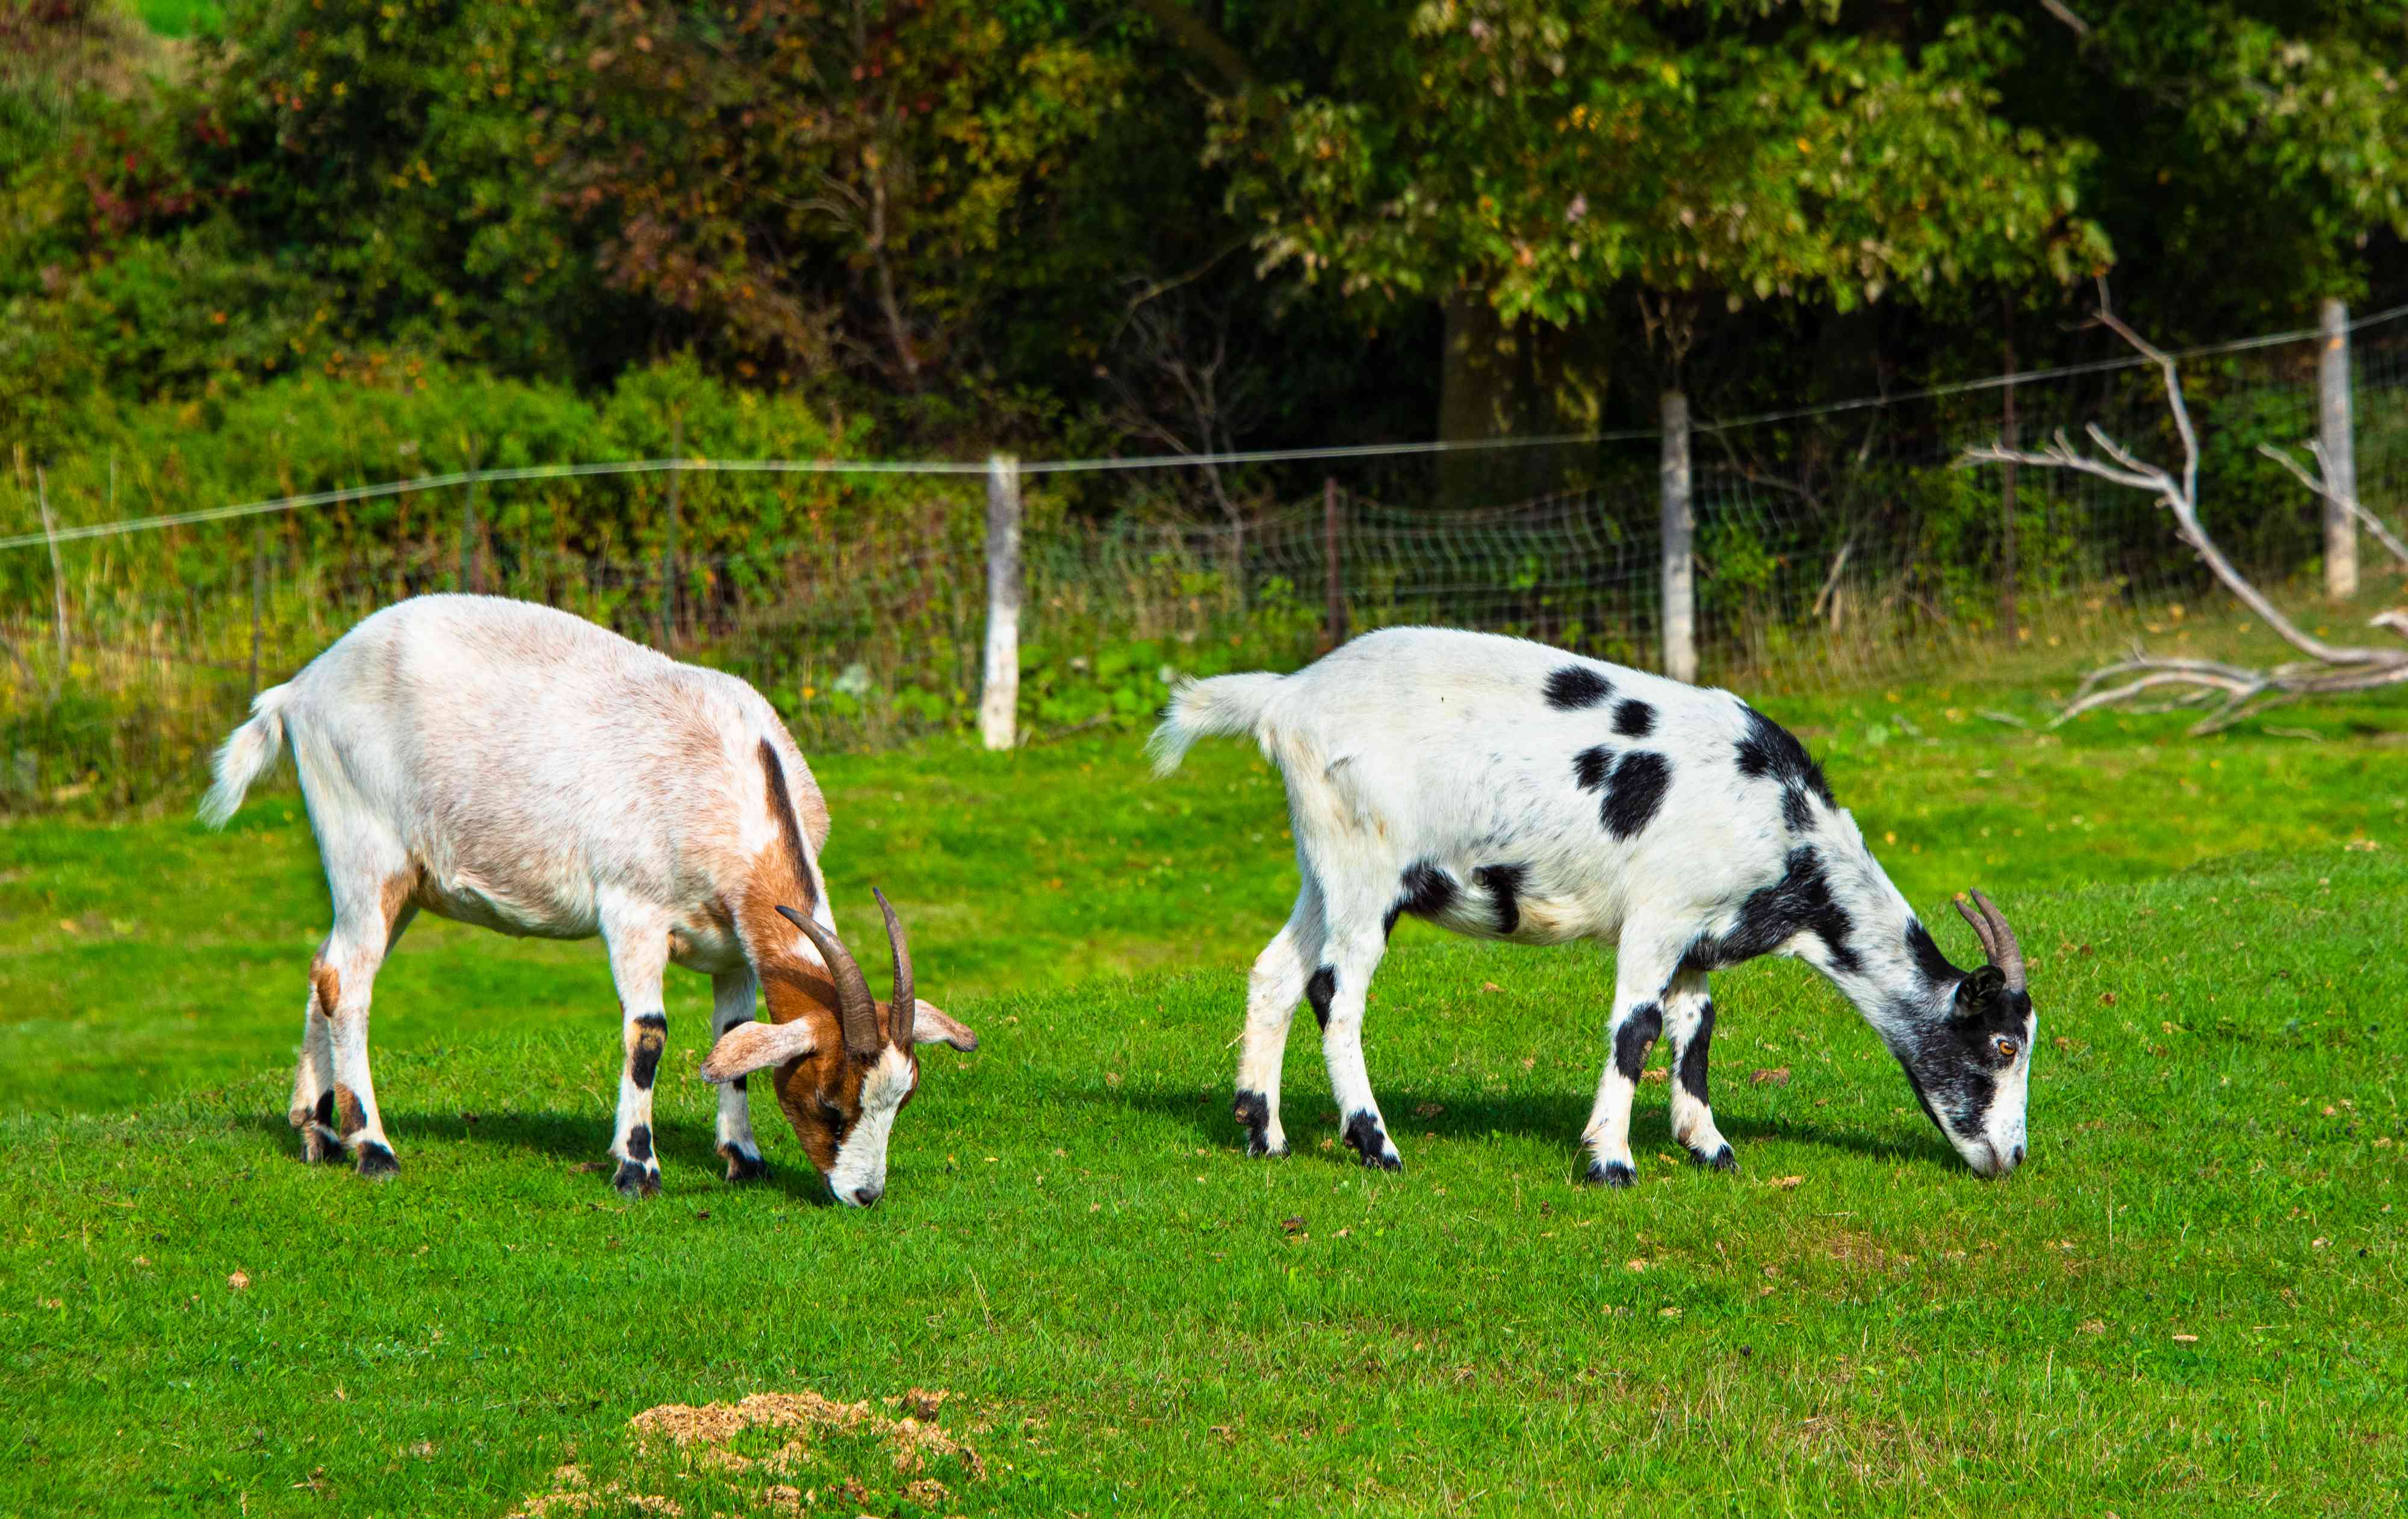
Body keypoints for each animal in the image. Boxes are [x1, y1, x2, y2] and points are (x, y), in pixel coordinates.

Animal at [200, 594, 978, 1199]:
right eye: (828, 1100)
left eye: (901, 1100)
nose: (864, 1194)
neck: (733, 776)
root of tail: (299, 690)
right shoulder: (633, 911)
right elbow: (649, 1035)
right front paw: (637, 1169)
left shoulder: (733, 947)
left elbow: (731, 1037)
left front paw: (743, 1159)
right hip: (366, 851)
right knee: (351, 984)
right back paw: (373, 1148)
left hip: (402, 885)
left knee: (326, 970)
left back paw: (316, 1132)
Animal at [1146, 630, 2032, 1189]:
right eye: (2001, 1043)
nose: (2013, 1158)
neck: (1785, 825)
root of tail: (1284, 698)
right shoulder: (1658, 916)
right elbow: (1634, 1027)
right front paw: (1611, 1161)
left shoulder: (1700, 937)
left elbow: (1694, 1027)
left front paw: (1710, 1147)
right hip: (1368, 864)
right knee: (1336, 990)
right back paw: (1377, 1145)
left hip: (1323, 863)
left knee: (1277, 971)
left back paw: (1264, 1134)